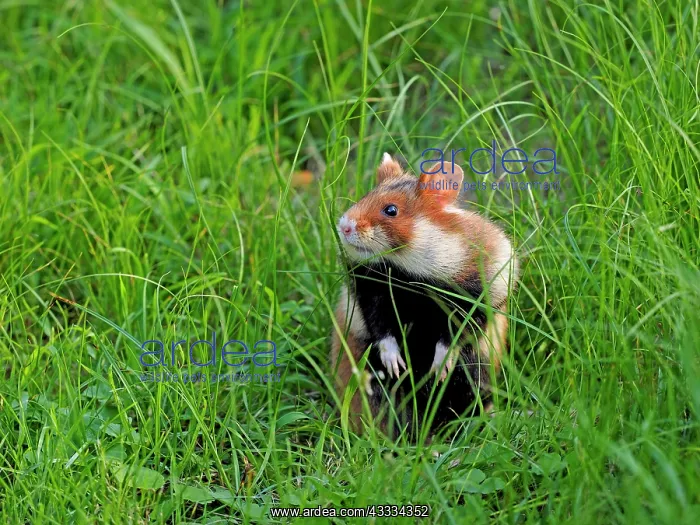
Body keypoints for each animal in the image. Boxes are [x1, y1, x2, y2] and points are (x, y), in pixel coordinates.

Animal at [330, 153, 519, 437]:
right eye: (365, 195)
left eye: (391, 210)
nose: (344, 227)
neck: (408, 267)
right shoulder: (371, 292)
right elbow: (382, 329)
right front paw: (396, 365)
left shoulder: (475, 295)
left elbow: (454, 334)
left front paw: (438, 369)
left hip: (477, 375)